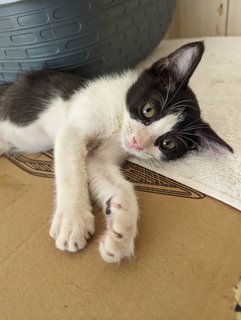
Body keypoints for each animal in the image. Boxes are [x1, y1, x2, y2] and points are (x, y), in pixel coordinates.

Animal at [0, 41, 233, 262]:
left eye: (168, 143)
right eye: (148, 110)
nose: (138, 143)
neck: (118, 122)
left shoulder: (102, 156)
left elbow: (113, 180)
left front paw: (121, 232)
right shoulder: (72, 130)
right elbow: (72, 172)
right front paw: (73, 221)